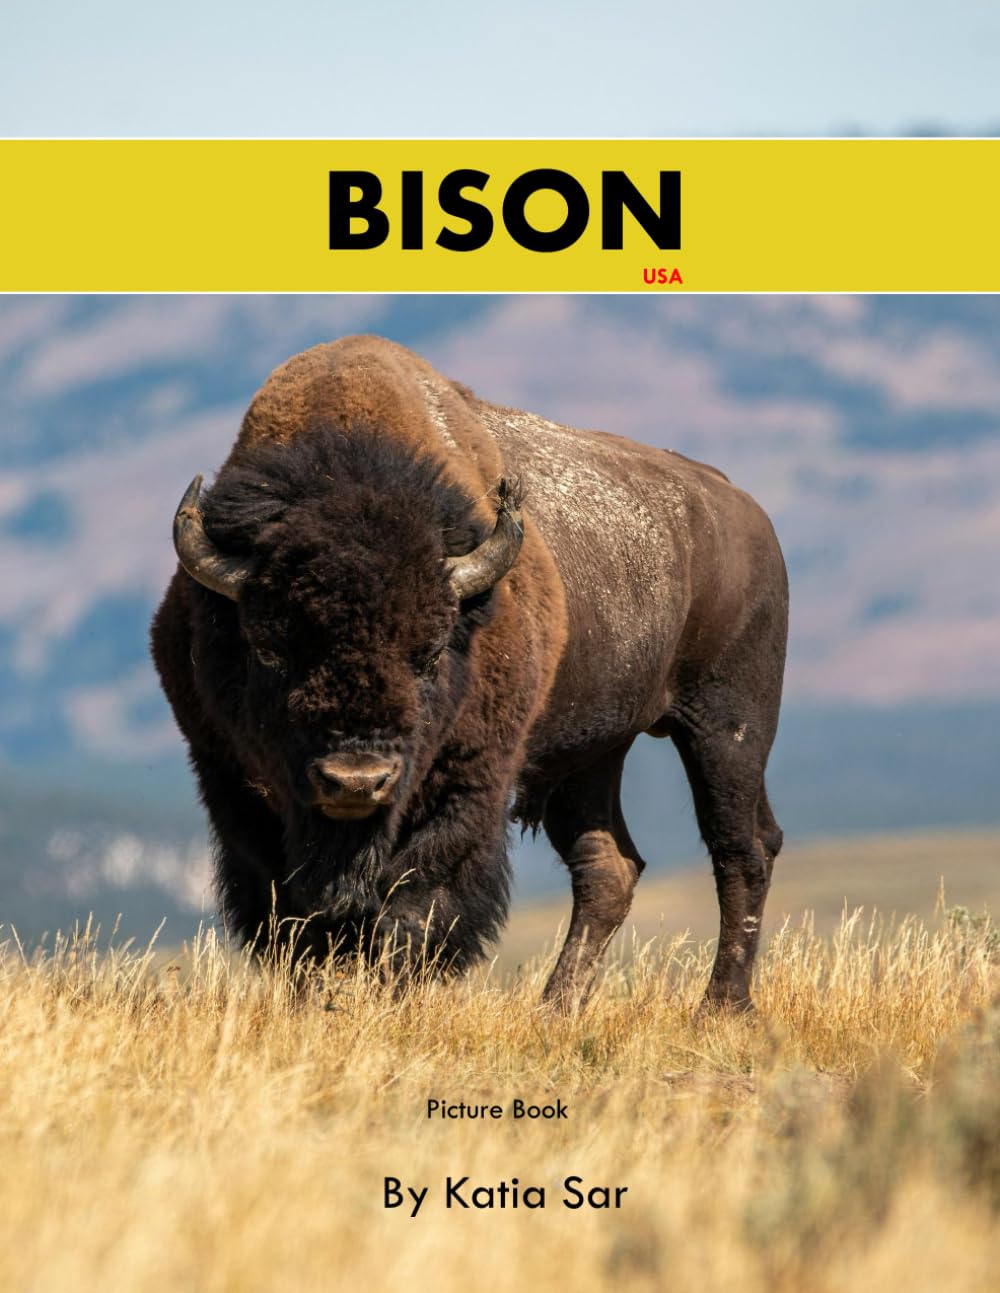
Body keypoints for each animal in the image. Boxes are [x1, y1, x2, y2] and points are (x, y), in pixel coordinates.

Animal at [151, 335, 788, 1010]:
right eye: (269, 650)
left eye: (430, 652)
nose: (356, 780)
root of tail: (741, 508)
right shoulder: (231, 778)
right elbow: (290, 913)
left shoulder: (468, 782)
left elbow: (416, 900)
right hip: (591, 755)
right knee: (608, 867)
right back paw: (555, 1009)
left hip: (727, 728)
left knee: (741, 850)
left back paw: (721, 1007)